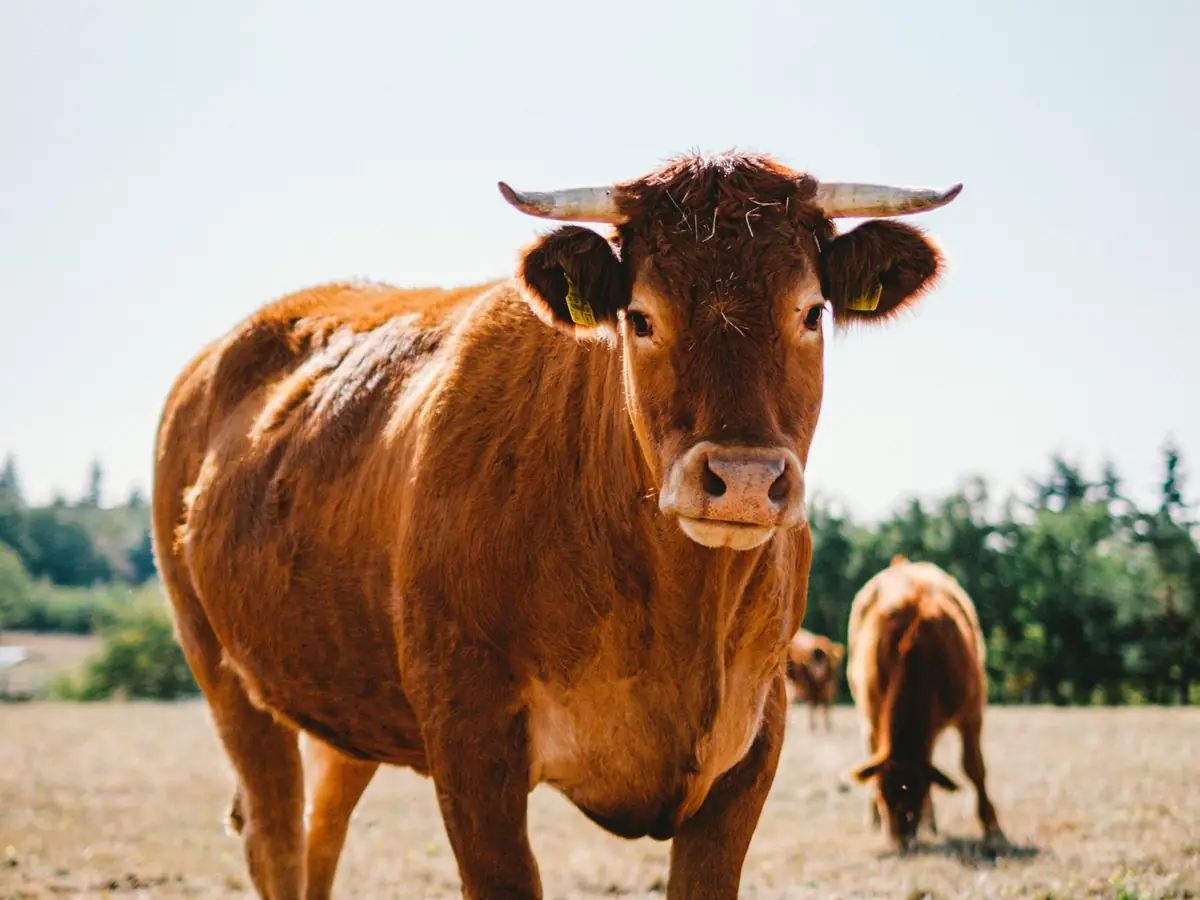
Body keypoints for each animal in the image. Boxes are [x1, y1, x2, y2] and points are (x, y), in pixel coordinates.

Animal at [152, 151, 962, 899]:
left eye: (811, 312)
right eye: (642, 317)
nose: (743, 479)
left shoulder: (754, 741)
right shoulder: (470, 741)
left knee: (322, 829)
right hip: (223, 672)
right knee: (276, 836)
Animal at [846, 556, 1005, 851]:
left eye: (917, 793)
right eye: (882, 794)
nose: (900, 839)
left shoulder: (971, 712)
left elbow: (974, 767)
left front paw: (993, 828)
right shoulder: (874, 711)